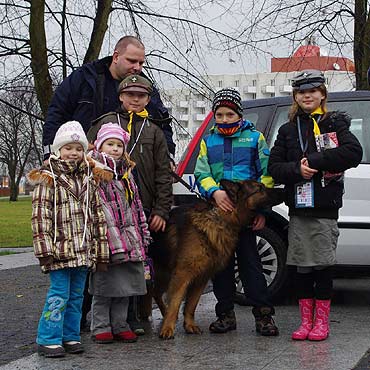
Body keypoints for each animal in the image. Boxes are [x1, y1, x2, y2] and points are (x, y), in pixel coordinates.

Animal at [149, 178, 284, 338]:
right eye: (260, 188)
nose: (284, 190)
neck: (221, 217)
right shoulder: (182, 275)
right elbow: (176, 302)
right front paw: (167, 329)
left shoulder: (201, 278)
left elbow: (191, 305)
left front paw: (189, 325)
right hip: (165, 274)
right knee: (157, 293)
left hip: (164, 274)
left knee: (156, 292)